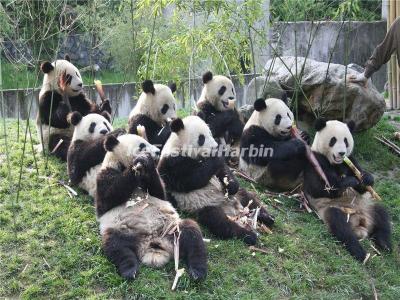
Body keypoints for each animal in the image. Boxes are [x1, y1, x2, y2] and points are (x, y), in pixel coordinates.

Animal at [94, 134, 206, 278]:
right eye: (142, 145)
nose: (157, 152)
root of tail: (152, 244)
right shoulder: (105, 176)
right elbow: (109, 197)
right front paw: (137, 164)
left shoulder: (154, 186)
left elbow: (159, 191)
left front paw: (148, 163)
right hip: (125, 231)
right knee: (116, 246)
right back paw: (129, 270)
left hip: (171, 229)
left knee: (192, 234)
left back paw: (197, 271)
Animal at [158, 116, 274, 245]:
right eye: (201, 138)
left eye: (210, 133)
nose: (214, 147)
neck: (179, 145)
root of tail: (233, 210)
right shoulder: (171, 165)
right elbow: (191, 179)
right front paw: (217, 155)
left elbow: (223, 171)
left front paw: (231, 185)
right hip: (205, 206)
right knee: (219, 222)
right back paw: (248, 235)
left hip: (236, 197)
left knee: (249, 198)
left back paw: (267, 217)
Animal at [304, 120, 390, 262]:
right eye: (333, 140)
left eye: (346, 141)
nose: (341, 153)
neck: (335, 163)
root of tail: (360, 225)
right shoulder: (315, 160)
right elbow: (320, 188)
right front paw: (349, 181)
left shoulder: (351, 161)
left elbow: (361, 186)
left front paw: (366, 178)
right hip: (333, 210)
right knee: (340, 225)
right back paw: (360, 253)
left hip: (368, 208)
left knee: (382, 215)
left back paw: (384, 244)